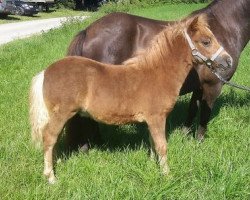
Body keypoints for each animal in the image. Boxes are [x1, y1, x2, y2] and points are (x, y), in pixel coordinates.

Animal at [29, 16, 232, 184]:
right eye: (206, 41)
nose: (228, 61)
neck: (157, 73)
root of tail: (45, 72)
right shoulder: (157, 118)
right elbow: (162, 145)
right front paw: (167, 175)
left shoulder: (151, 120)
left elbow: (152, 143)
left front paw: (151, 165)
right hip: (61, 114)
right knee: (49, 138)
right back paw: (51, 177)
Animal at [66, 0, 250, 148]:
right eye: (206, 42)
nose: (227, 61)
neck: (223, 27)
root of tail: (88, 30)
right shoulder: (213, 85)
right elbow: (204, 115)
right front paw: (199, 143)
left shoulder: (199, 86)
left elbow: (192, 110)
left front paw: (184, 135)